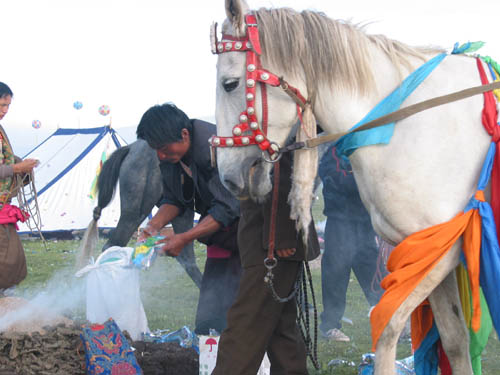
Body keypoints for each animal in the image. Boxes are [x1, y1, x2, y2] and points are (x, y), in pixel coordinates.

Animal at [213, 0, 498, 375]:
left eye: (230, 84)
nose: (229, 177)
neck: (401, 122)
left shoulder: (441, 250)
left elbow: (387, 329)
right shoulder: (429, 247)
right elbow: (454, 340)